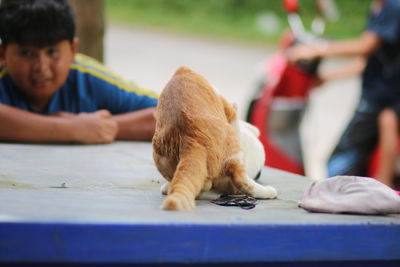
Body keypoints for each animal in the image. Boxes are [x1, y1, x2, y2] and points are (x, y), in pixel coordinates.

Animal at [152, 67, 276, 211]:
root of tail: (189, 138)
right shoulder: (230, 111)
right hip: (233, 149)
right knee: (242, 181)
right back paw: (268, 191)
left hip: (161, 157)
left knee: (197, 186)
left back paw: (170, 187)